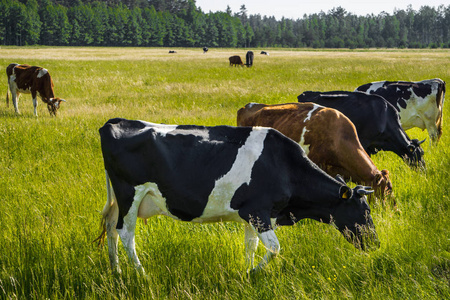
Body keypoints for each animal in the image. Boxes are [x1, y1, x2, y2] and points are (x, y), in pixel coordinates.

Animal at [96, 117, 378, 274]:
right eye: (364, 211)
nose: (375, 243)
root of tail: (115, 122)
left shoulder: (251, 216)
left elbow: (250, 246)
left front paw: (246, 271)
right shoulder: (258, 212)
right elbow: (274, 248)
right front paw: (253, 273)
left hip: (119, 199)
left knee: (110, 227)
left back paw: (116, 270)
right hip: (130, 193)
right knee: (126, 234)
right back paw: (140, 273)